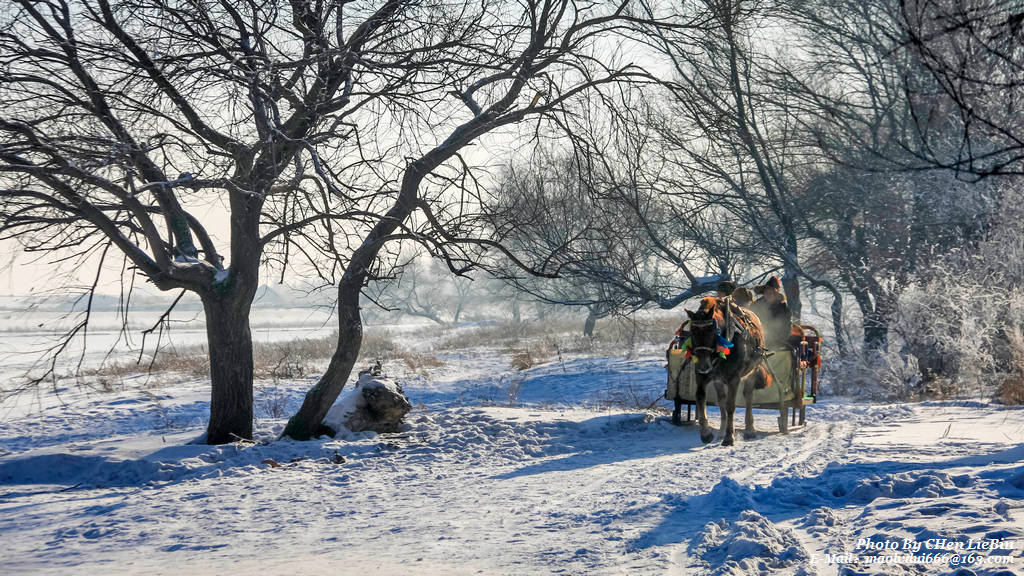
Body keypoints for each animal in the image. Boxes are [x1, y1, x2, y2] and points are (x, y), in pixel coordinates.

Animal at [684, 295, 770, 444]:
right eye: (692, 332)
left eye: (713, 331)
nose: (703, 365)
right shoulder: (702, 375)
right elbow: (700, 398)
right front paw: (706, 434)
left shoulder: (734, 378)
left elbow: (730, 406)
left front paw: (729, 436)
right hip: (718, 380)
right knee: (721, 400)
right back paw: (721, 431)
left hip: (752, 372)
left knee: (748, 396)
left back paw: (749, 429)